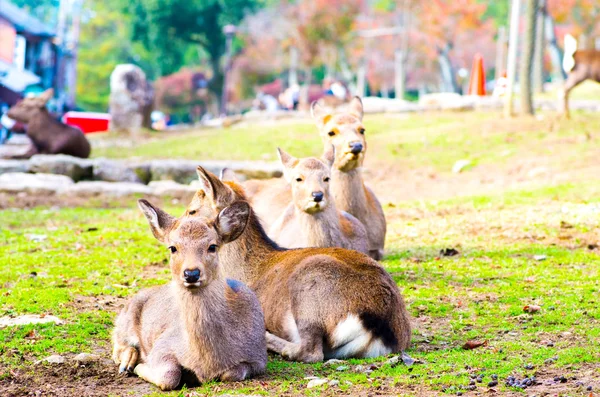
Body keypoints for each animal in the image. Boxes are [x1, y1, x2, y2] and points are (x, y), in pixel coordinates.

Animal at [112, 201, 268, 390]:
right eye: (173, 248)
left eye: (212, 246)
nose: (191, 273)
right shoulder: (163, 345)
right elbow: (169, 376)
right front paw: (141, 366)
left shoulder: (259, 357)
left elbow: (232, 373)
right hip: (125, 319)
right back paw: (127, 363)